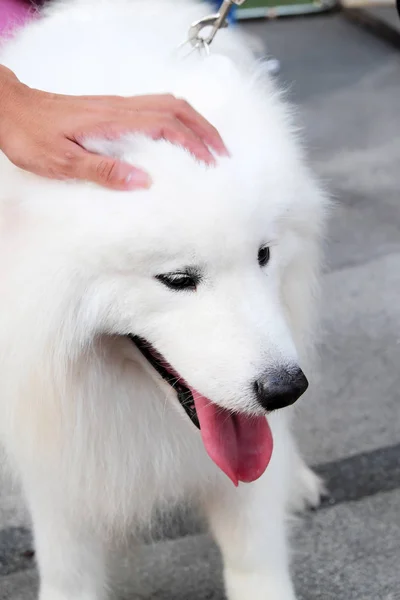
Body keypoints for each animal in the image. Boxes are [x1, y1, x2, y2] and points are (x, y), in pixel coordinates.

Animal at [0, 1, 326, 600]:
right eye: (176, 279)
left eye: (263, 254)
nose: (285, 389)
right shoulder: (56, 457)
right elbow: (68, 568)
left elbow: (256, 558)